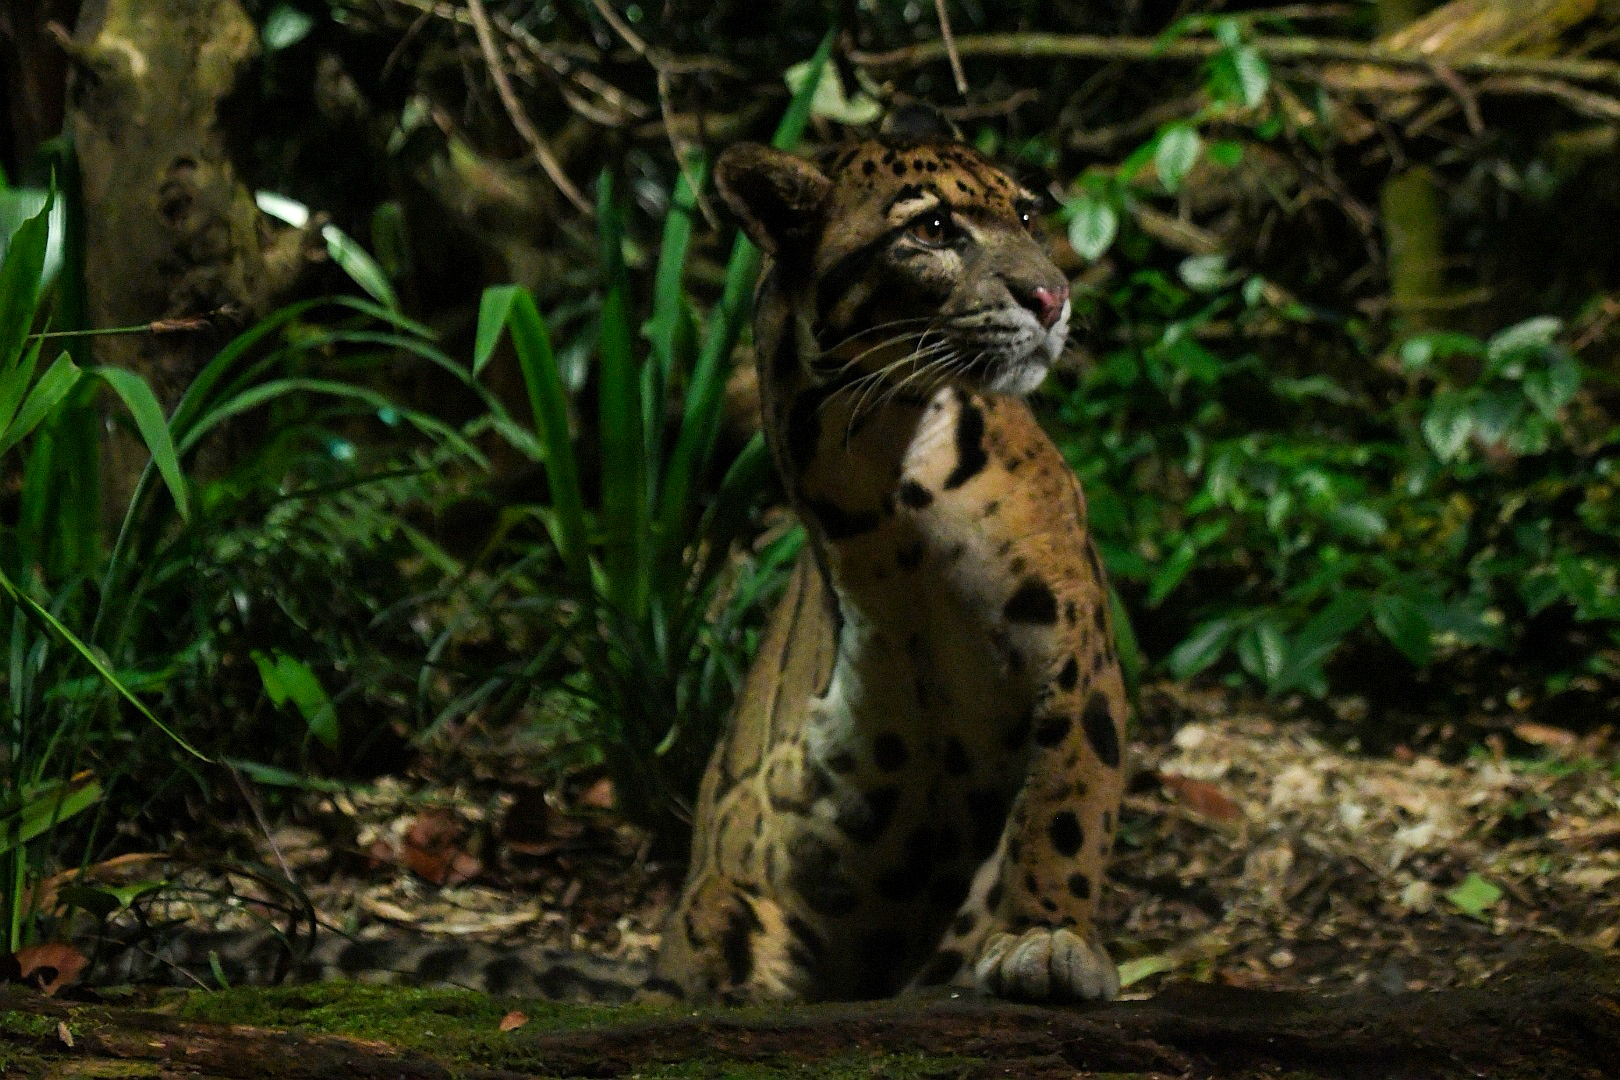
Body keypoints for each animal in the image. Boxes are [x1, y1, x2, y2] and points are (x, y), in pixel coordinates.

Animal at [644, 111, 1129, 1005]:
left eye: (1027, 216)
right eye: (932, 229)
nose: (1052, 297)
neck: (880, 451)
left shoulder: (1069, 631)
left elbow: (1069, 797)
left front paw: (1047, 937)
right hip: (713, 907)